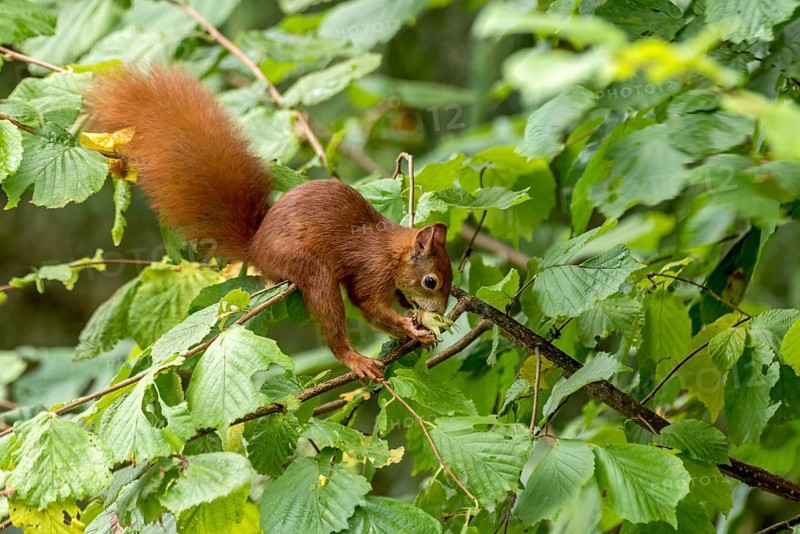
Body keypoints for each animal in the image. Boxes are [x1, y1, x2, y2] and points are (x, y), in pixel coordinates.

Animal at [85, 66, 453, 381]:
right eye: (431, 281)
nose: (442, 311)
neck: (391, 250)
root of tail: (256, 246)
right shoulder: (370, 269)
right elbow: (369, 306)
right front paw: (412, 327)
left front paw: (418, 326)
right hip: (304, 266)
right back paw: (352, 358)